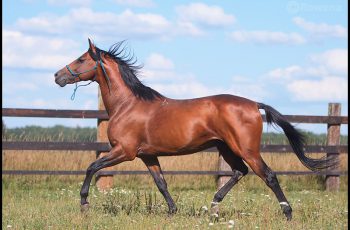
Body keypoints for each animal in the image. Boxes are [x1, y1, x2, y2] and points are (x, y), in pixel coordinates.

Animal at [54, 38, 336, 220]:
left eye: (81, 59)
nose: (57, 76)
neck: (128, 104)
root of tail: (254, 104)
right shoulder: (148, 155)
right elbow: (161, 183)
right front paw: (172, 212)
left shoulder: (125, 151)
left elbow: (92, 167)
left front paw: (84, 203)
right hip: (226, 147)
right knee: (239, 172)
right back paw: (212, 206)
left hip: (246, 149)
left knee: (268, 175)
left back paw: (287, 213)